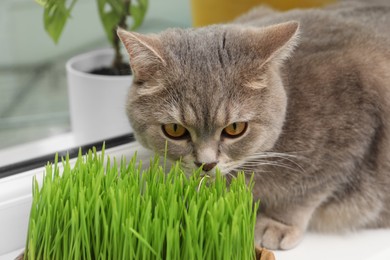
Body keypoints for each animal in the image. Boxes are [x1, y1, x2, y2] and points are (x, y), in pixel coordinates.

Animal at [117, 1, 390, 251]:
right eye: (175, 130)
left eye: (235, 128)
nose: (206, 164)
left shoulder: (351, 133)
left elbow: (308, 190)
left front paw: (277, 224)